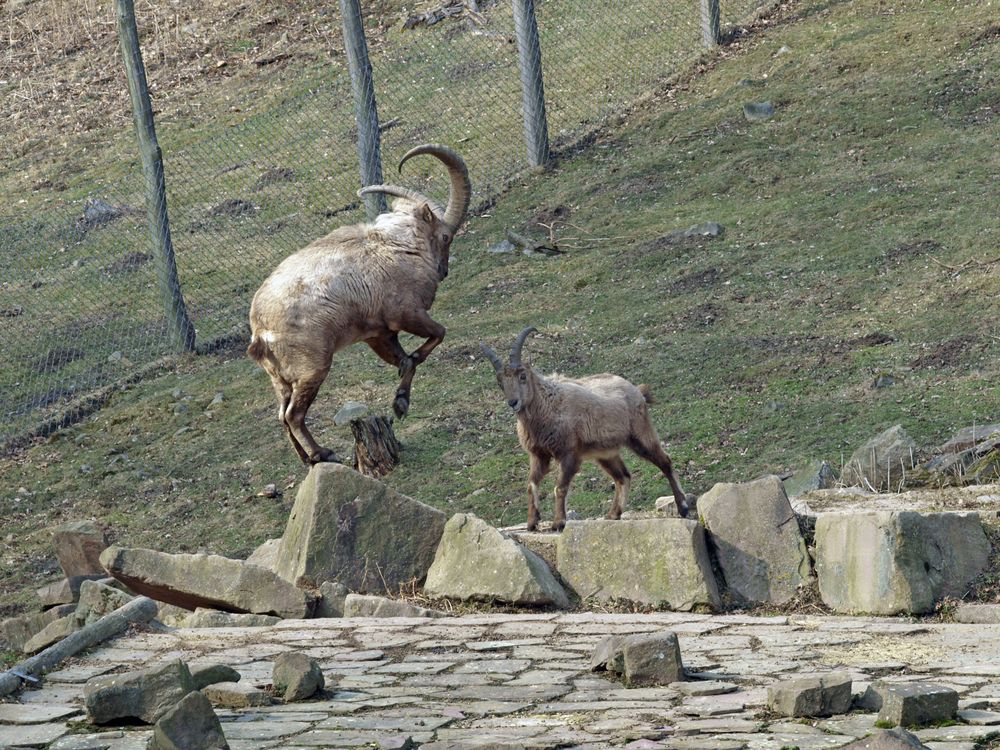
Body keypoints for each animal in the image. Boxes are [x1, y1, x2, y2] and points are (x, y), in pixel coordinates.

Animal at [248, 144, 470, 468]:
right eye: (445, 236)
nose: (443, 271)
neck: (400, 245)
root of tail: (259, 330)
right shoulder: (406, 313)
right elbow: (437, 335)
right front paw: (401, 401)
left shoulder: (377, 333)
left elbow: (403, 359)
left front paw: (400, 401)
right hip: (312, 367)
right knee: (293, 414)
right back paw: (321, 453)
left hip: (280, 377)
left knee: (281, 414)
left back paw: (305, 458)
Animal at [482, 328, 688, 536]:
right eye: (500, 382)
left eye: (522, 375)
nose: (513, 402)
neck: (547, 406)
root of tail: (638, 391)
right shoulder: (539, 455)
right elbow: (531, 484)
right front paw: (532, 522)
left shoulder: (569, 453)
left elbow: (560, 487)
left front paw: (559, 523)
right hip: (605, 453)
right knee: (623, 476)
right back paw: (613, 514)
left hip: (641, 434)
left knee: (665, 462)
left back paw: (683, 507)